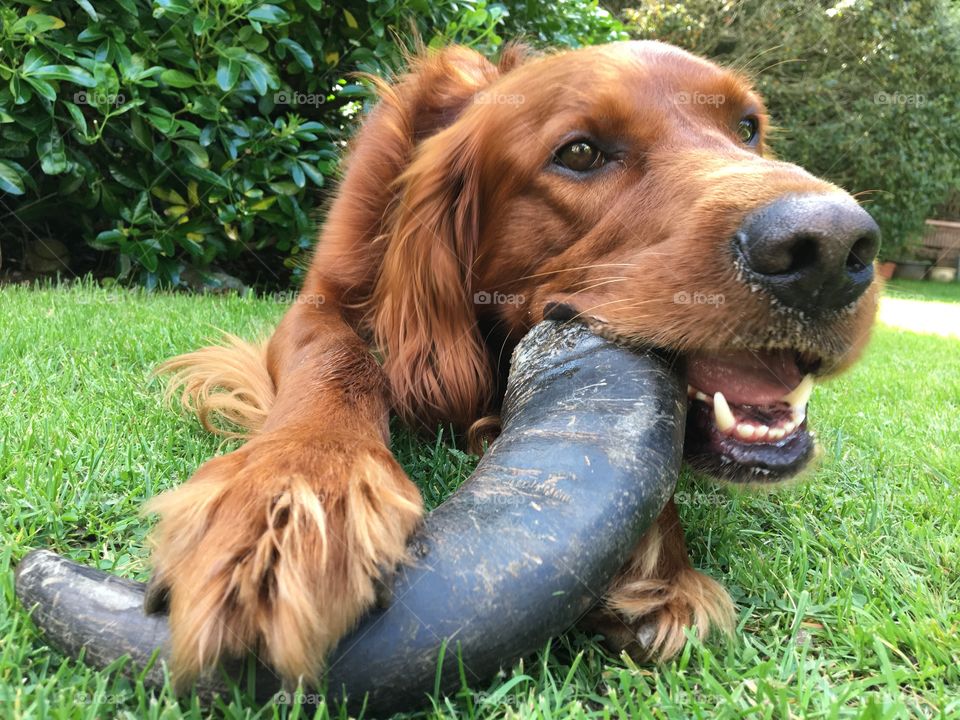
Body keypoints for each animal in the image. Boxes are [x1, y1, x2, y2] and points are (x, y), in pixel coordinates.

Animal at [148, 42, 876, 688]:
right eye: (579, 152)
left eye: (748, 128)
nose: (833, 248)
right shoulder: (318, 304)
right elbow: (335, 362)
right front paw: (293, 496)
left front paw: (657, 566)